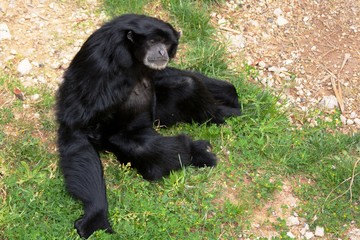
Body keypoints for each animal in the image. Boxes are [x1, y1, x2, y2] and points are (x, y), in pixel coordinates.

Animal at [56, 13, 240, 238]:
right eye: (153, 41)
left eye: (166, 43)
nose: (162, 51)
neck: (129, 54)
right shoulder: (99, 62)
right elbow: (76, 127)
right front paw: (96, 214)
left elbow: (164, 74)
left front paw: (227, 90)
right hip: (118, 137)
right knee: (142, 147)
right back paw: (195, 150)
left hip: (156, 117)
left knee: (187, 84)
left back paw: (217, 116)